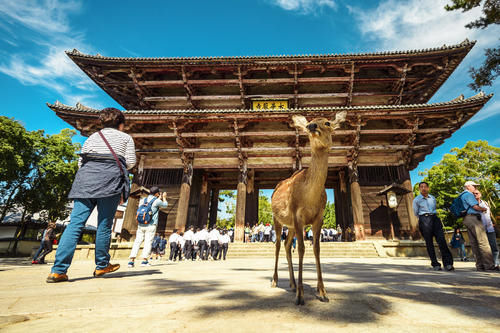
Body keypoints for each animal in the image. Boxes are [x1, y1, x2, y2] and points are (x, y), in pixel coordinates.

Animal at [270, 111, 348, 304]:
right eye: (308, 123)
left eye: (327, 122)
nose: (311, 126)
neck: (310, 198)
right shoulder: (297, 215)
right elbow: (301, 249)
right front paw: (300, 296)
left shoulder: (318, 217)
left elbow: (316, 249)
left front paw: (323, 292)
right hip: (277, 219)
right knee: (278, 244)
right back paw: (275, 281)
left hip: (290, 226)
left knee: (286, 245)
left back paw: (291, 284)